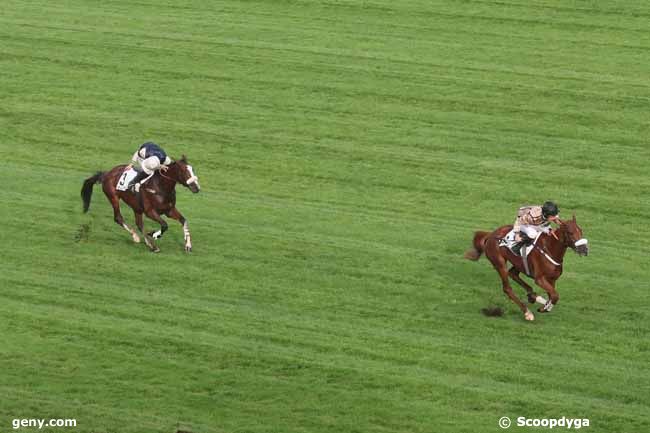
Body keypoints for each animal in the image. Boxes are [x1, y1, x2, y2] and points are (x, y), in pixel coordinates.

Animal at [460, 216, 588, 320]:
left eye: (581, 231)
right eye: (570, 232)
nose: (584, 249)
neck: (550, 249)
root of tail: (491, 235)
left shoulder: (552, 279)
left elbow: (552, 295)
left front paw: (544, 304)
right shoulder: (540, 279)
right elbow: (555, 296)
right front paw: (543, 308)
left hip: (518, 263)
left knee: (513, 274)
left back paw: (534, 297)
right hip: (499, 263)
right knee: (507, 288)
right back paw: (527, 312)